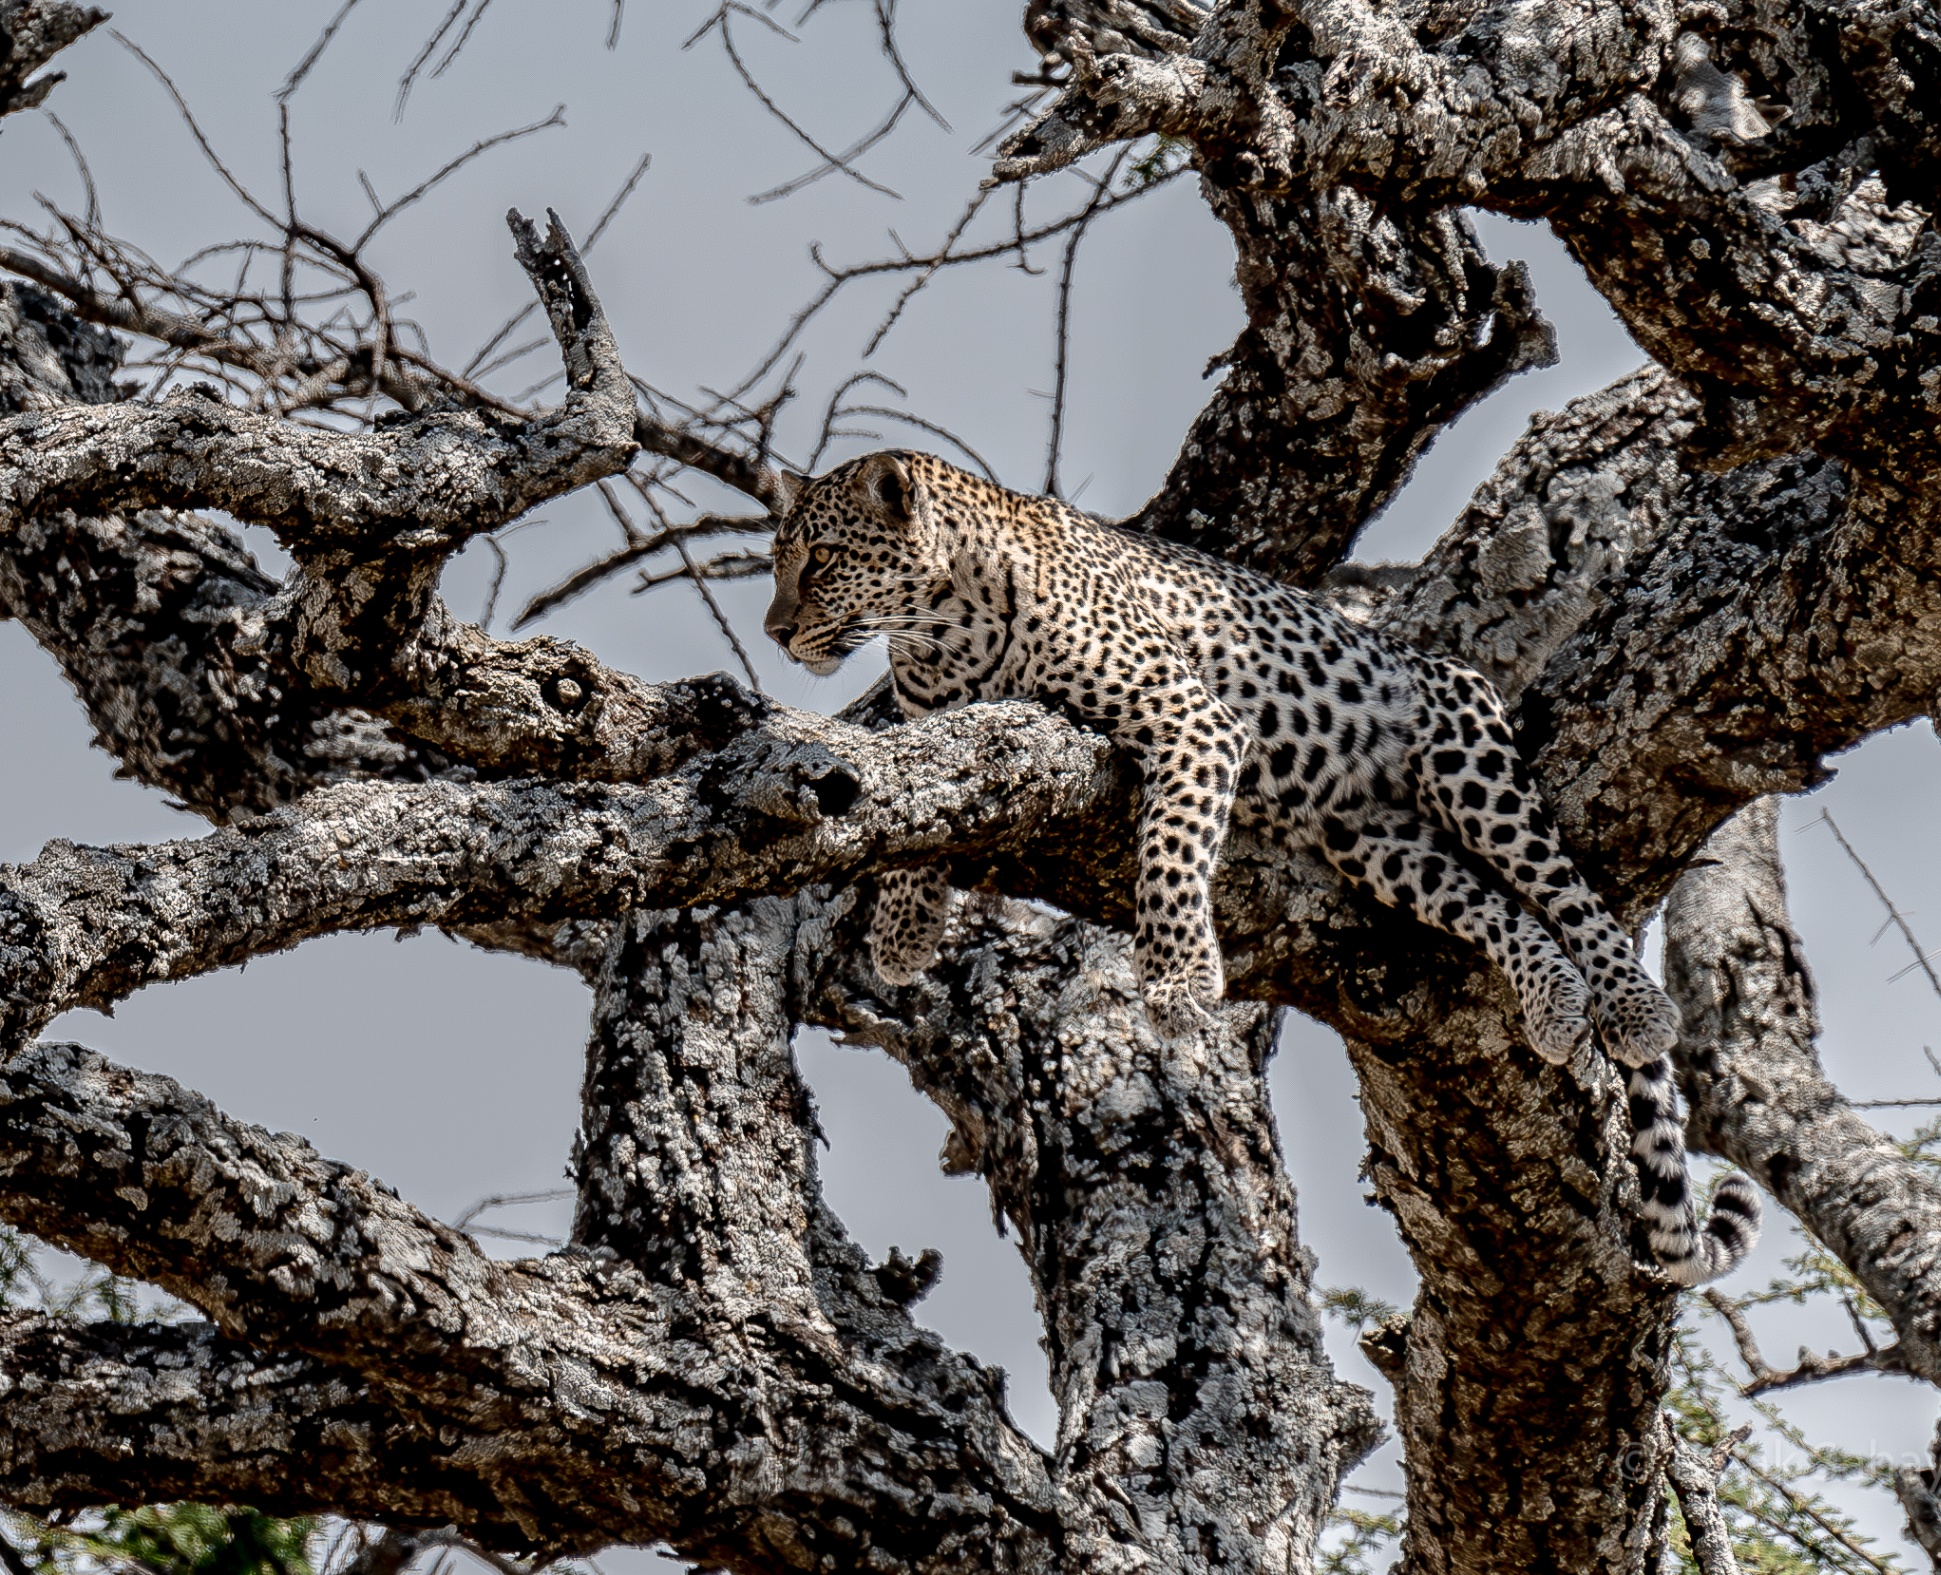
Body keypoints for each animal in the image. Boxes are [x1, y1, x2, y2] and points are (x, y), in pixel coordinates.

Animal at [763, 449, 1760, 1285]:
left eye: (818, 560)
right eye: (780, 563)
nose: (774, 633)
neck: (939, 631)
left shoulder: (1190, 716)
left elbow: (1169, 845)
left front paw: (1175, 980)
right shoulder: (937, 725)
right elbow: (918, 801)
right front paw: (902, 929)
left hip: (1466, 757)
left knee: (1562, 888)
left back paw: (1629, 1006)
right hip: (1379, 844)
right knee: (1500, 907)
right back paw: (1552, 1001)